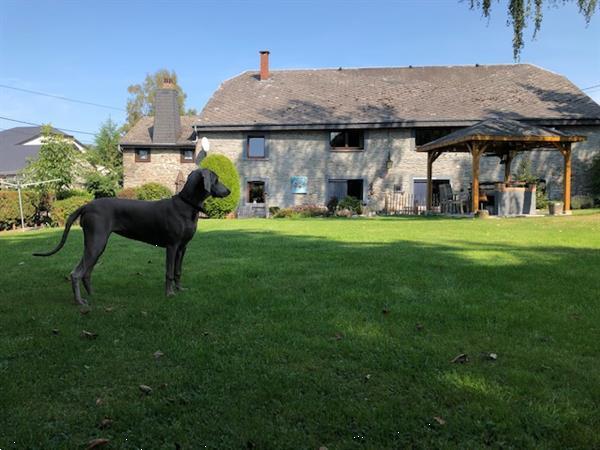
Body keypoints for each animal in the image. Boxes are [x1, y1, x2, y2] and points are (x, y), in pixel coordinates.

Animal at [33, 169, 230, 306]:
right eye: (216, 179)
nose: (228, 191)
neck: (186, 206)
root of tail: (86, 205)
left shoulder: (183, 247)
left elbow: (178, 271)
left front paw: (180, 289)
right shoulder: (172, 246)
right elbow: (168, 272)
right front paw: (169, 294)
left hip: (96, 245)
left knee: (86, 272)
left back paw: (93, 295)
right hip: (96, 242)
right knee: (76, 273)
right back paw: (80, 302)